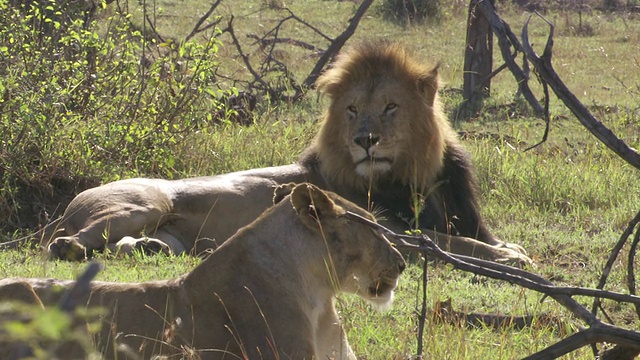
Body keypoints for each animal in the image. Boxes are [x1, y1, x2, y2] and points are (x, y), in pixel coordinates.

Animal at [7, 40, 532, 264]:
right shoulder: (389, 234)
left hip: (165, 232)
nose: (365, 140)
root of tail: (67, 205)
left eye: (390, 107)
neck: (415, 177)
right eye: (352, 110)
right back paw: (70, 247)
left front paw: (505, 246)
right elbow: (449, 243)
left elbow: (462, 236)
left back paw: (152, 248)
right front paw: (510, 254)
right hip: (143, 203)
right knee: (69, 242)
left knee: (132, 247)